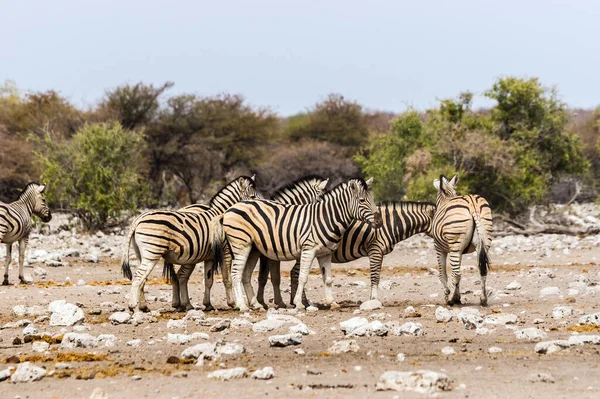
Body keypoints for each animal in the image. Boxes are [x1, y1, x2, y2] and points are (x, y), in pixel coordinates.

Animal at [122, 177, 260, 314]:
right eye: (252, 197)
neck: (221, 214)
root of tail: (138, 219)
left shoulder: (210, 256)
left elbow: (208, 280)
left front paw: (208, 304)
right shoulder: (225, 250)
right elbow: (227, 278)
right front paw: (233, 303)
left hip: (143, 254)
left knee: (146, 278)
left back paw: (144, 306)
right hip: (152, 252)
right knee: (139, 277)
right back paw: (133, 306)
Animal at [164, 176, 330, 312]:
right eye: (252, 196)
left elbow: (265, 277)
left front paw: (263, 302)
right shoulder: (233, 252)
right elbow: (262, 277)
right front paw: (243, 302)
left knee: (179, 276)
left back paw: (181, 304)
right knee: (181, 276)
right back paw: (183, 304)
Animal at [213, 178, 382, 312]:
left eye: (373, 199)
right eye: (362, 200)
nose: (379, 222)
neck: (326, 218)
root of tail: (229, 209)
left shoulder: (325, 253)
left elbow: (327, 279)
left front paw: (332, 303)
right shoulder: (308, 250)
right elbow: (302, 277)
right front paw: (299, 303)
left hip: (253, 249)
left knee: (246, 274)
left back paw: (256, 305)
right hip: (241, 245)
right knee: (236, 273)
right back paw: (242, 306)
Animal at [262, 202, 436, 308]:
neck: (390, 225)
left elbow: (376, 276)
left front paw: (372, 299)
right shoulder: (375, 250)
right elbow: (375, 276)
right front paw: (374, 300)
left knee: (293, 272)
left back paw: (297, 301)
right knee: (295, 272)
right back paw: (303, 302)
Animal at [432, 174, 492, 306]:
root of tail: (472, 203)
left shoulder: (439, 249)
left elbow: (442, 274)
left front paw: (448, 295)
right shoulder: (460, 251)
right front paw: (458, 296)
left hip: (455, 245)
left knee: (456, 274)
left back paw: (451, 300)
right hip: (484, 241)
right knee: (482, 271)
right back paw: (483, 299)